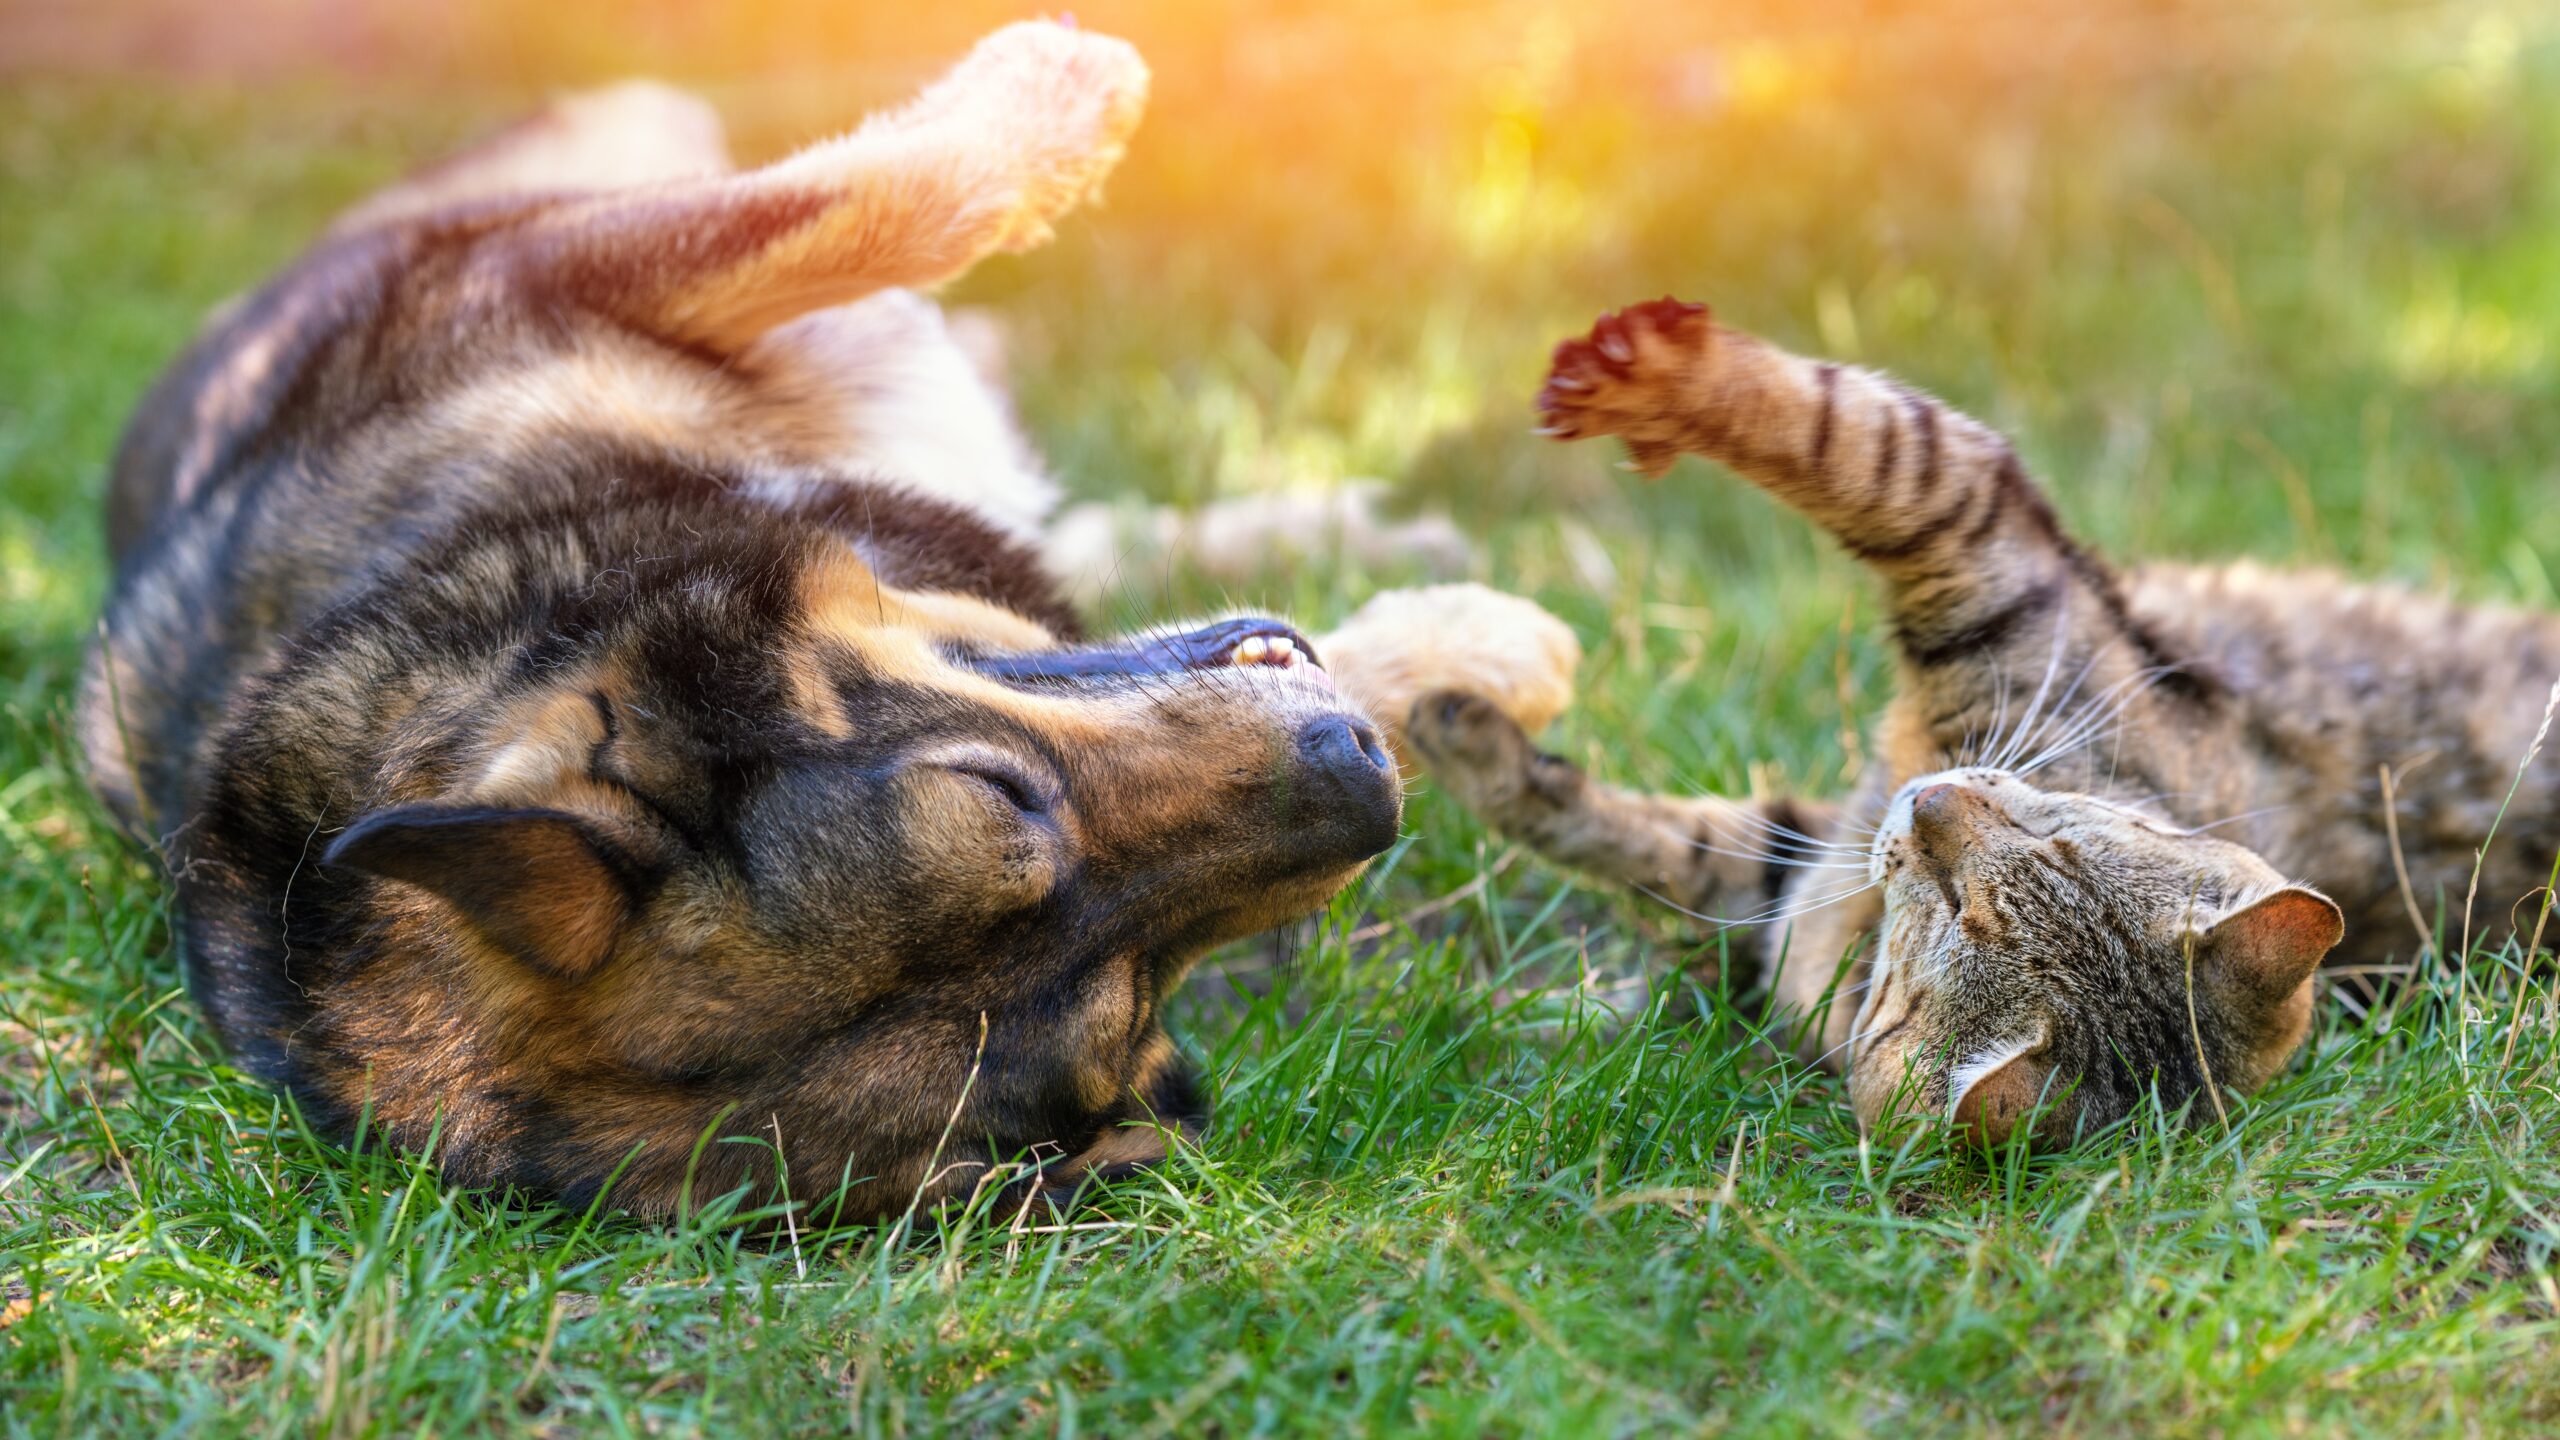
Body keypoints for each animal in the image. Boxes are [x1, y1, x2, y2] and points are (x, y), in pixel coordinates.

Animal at [80, 19, 1402, 1209]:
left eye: (995, 789)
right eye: (1122, 1001)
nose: (1361, 772)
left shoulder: (541, 267)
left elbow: (853, 201)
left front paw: (1064, 84)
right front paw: (1080, 71)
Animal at [1402, 297, 2560, 1137]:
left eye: (1966, 910)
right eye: (2060, 831)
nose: (1934, 805)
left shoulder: (1972, 537)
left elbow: (1843, 431)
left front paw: (1658, 378)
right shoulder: (1794, 854)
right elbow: (1630, 830)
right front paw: (1467, 734)